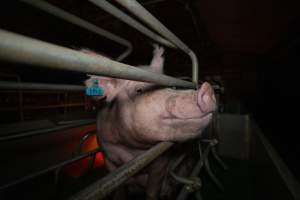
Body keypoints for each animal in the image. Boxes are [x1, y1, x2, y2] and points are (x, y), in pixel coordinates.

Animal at [84, 45, 216, 200]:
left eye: (172, 87)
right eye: (139, 90)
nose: (207, 88)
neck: (133, 152)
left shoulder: (161, 162)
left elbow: (152, 190)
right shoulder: (108, 157)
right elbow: (118, 192)